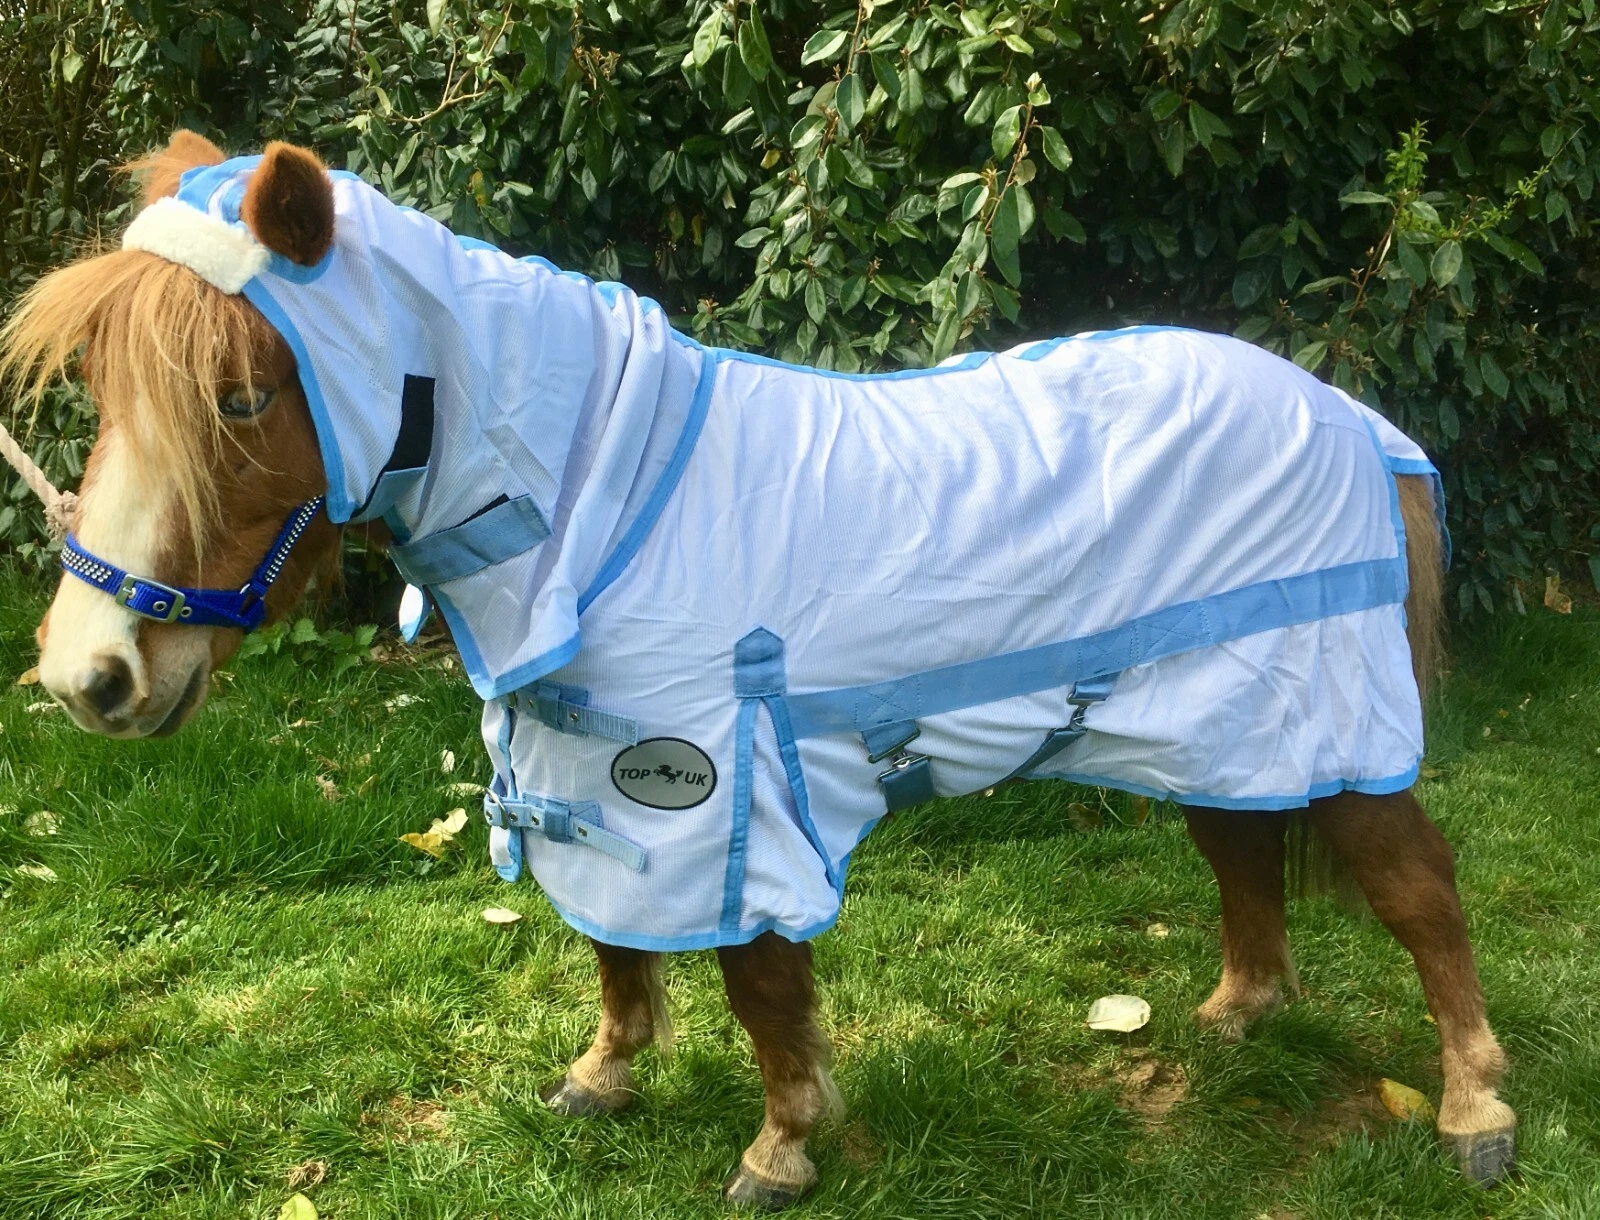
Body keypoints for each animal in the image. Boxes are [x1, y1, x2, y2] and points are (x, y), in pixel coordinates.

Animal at [0, 132, 1516, 1207]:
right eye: (102, 390)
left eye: (242, 397)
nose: (90, 677)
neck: (608, 503)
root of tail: (1350, 418)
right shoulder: (593, 787)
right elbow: (614, 949)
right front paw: (602, 1081)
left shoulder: (722, 789)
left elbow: (759, 985)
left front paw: (782, 1147)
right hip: (1220, 722)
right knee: (1241, 850)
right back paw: (1235, 1016)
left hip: (1333, 730)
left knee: (1423, 894)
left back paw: (1476, 1109)